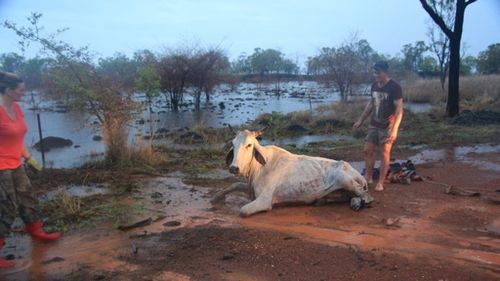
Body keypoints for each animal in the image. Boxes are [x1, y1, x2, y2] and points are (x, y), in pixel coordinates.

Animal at [213, 130, 374, 215]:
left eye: (249, 145)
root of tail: (351, 168)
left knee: (367, 196)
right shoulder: (250, 188)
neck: (258, 168)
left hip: (344, 179)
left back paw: (358, 203)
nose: (234, 168)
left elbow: (243, 210)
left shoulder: (264, 201)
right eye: (233, 145)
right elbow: (234, 186)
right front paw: (216, 197)